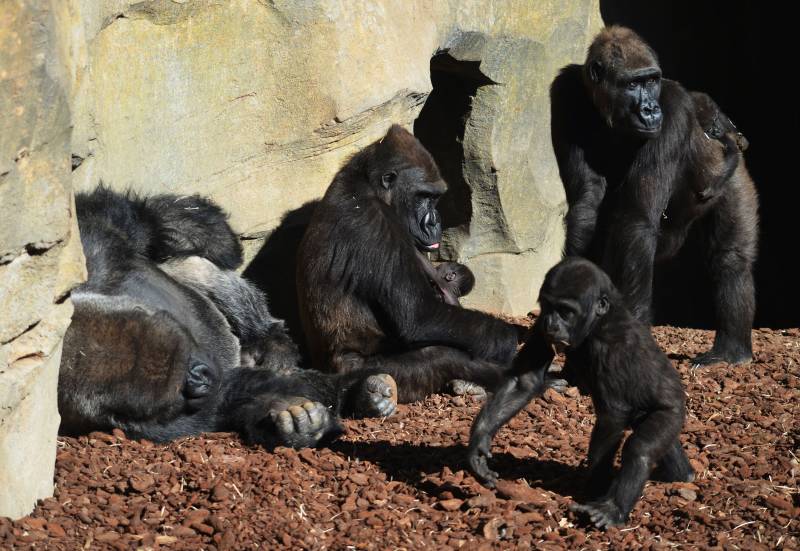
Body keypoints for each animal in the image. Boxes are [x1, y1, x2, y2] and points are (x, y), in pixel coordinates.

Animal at [57, 185, 396, 448]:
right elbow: (233, 404)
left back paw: (271, 341)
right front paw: (303, 428)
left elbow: (137, 221)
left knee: (195, 268)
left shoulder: (96, 253)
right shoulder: (140, 425)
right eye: (178, 387)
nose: (204, 375)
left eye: (184, 342)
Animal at [296, 124, 520, 402]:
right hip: (362, 374)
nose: (434, 222)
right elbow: (420, 315)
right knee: (440, 355)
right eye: (423, 196)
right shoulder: (373, 223)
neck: (369, 185)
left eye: (436, 198)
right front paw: (505, 339)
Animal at [468, 258, 692, 532]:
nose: (551, 324)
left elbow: (612, 416)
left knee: (641, 448)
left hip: (672, 411)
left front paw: (595, 490)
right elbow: (524, 381)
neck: (598, 322)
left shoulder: (610, 347)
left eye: (566, 311)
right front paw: (479, 441)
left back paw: (613, 510)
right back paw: (682, 474)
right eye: (548, 306)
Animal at [552, 25, 756, 366]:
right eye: (633, 84)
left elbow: (637, 219)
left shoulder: (673, 106)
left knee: (730, 258)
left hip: (734, 173)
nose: (650, 110)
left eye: (651, 81)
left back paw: (731, 350)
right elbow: (587, 202)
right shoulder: (564, 92)